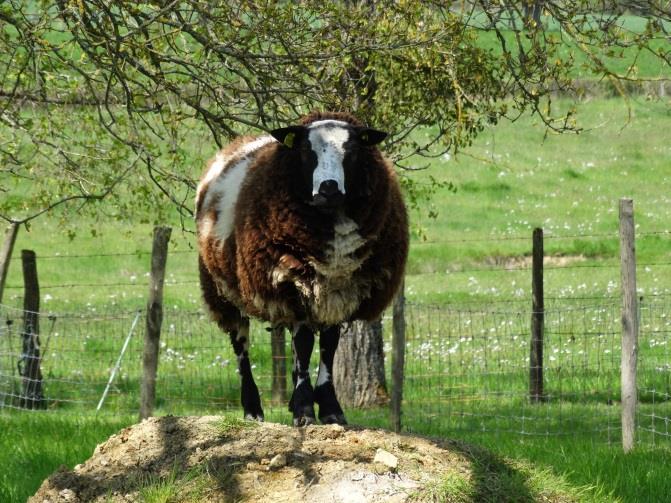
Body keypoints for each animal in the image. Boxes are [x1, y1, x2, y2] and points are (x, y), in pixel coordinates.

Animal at [196, 112, 410, 428]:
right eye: (307, 151)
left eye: (353, 149)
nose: (329, 188)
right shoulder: (292, 285)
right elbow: (305, 343)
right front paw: (305, 411)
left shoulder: (339, 291)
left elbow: (328, 347)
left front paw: (330, 409)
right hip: (223, 290)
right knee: (241, 345)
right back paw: (252, 409)